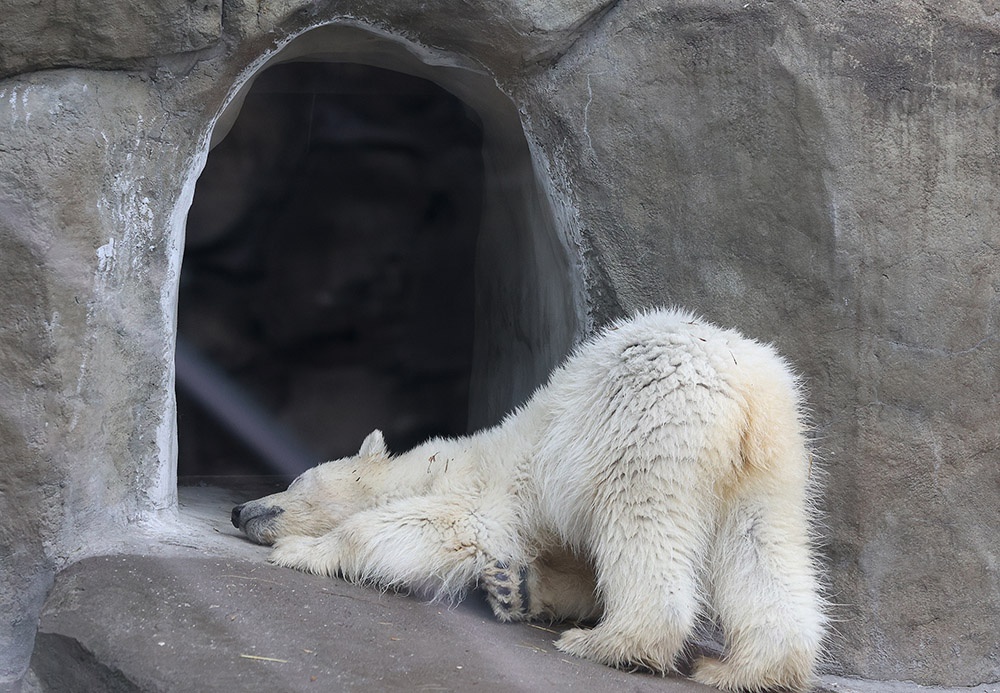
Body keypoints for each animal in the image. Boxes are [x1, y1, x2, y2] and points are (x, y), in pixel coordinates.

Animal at [230, 310, 824, 692]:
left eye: (291, 486)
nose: (239, 510)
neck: (435, 465)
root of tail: (747, 392)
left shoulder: (488, 493)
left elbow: (451, 527)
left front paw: (303, 552)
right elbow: (570, 571)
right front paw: (512, 588)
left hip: (651, 426)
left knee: (641, 522)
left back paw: (609, 644)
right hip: (773, 460)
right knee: (762, 546)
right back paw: (748, 671)